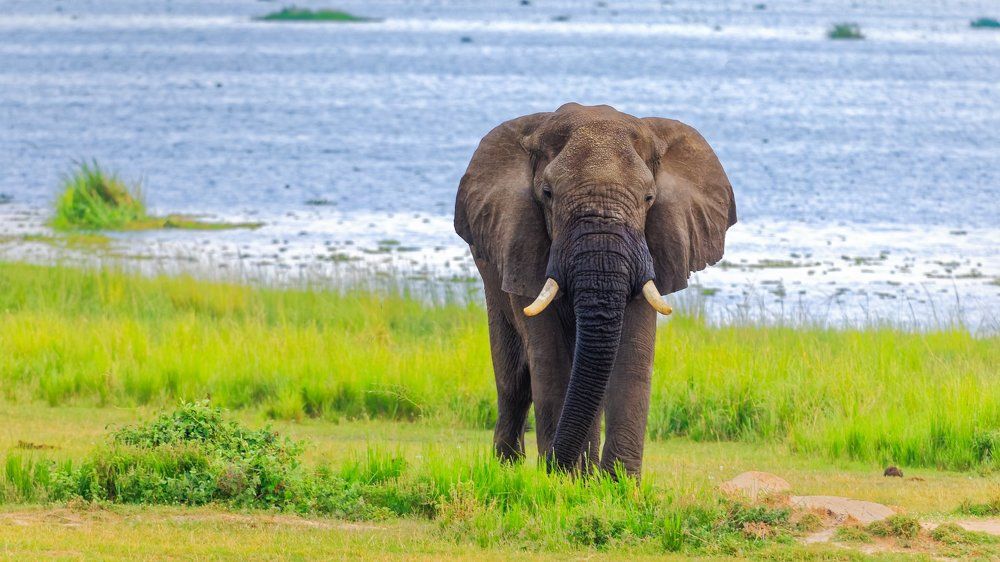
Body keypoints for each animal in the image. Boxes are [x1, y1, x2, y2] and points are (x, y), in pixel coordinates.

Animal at [454, 103, 736, 476]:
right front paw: (563, 481)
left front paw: (618, 484)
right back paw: (510, 471)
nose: (554, 464)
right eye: (547, 194)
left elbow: (633, 354)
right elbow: (551, 359)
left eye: (649, 198)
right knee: (514, 382)